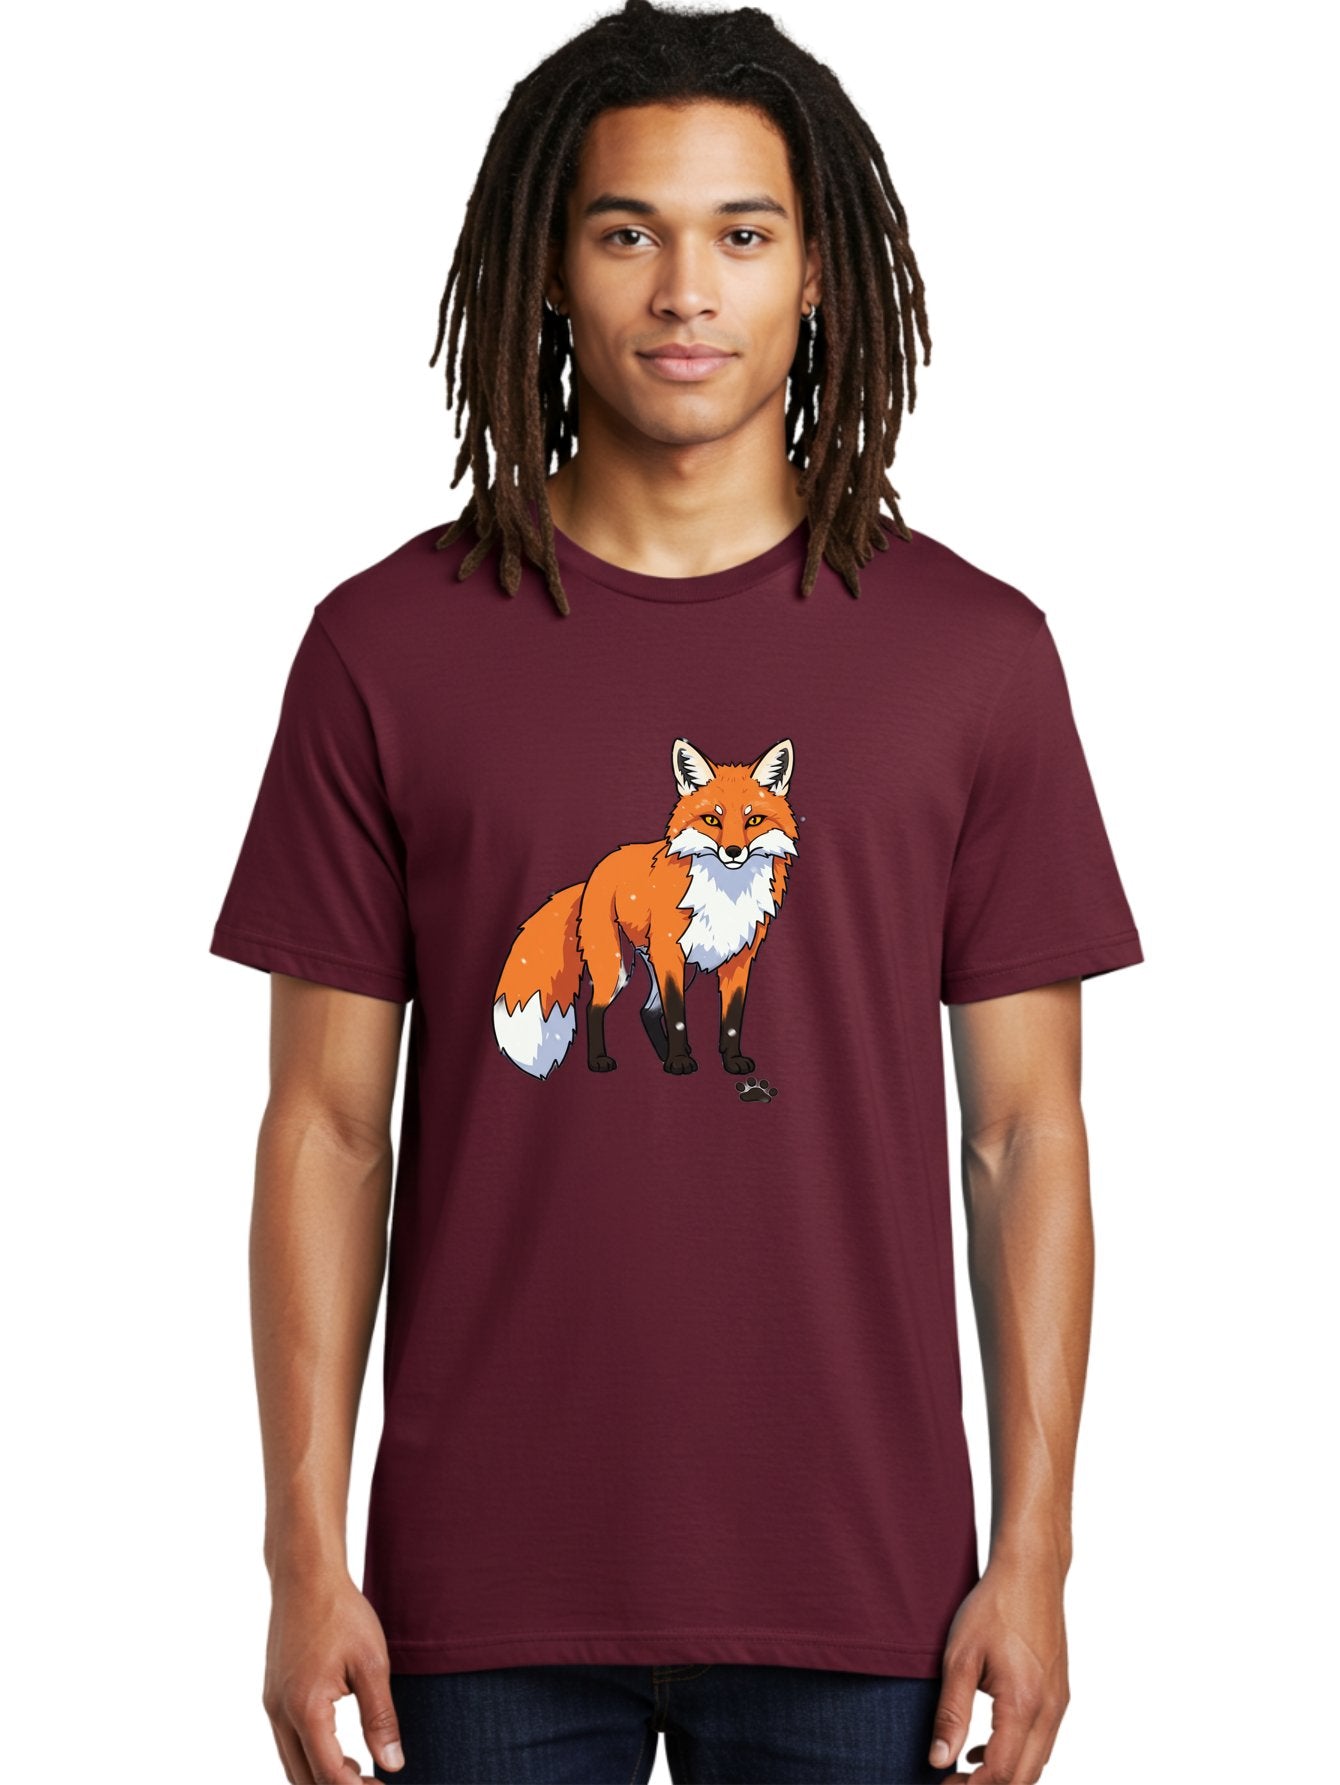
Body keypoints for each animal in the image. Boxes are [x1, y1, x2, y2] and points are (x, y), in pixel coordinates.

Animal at [493, 737, 799, 1079]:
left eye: (753, 820)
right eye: (712, 820)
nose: (733, 852)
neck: (727, 894)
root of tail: (592, 874)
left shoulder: (740, 958)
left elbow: (731, 1020)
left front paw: (731, 1061)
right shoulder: (670, 952)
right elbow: (677, 1014)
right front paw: (678, 1062)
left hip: (672, 968)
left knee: (647, 1010)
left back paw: (664, 1054)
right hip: (617, 966)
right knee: (594, 1008)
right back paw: (603, 1060)